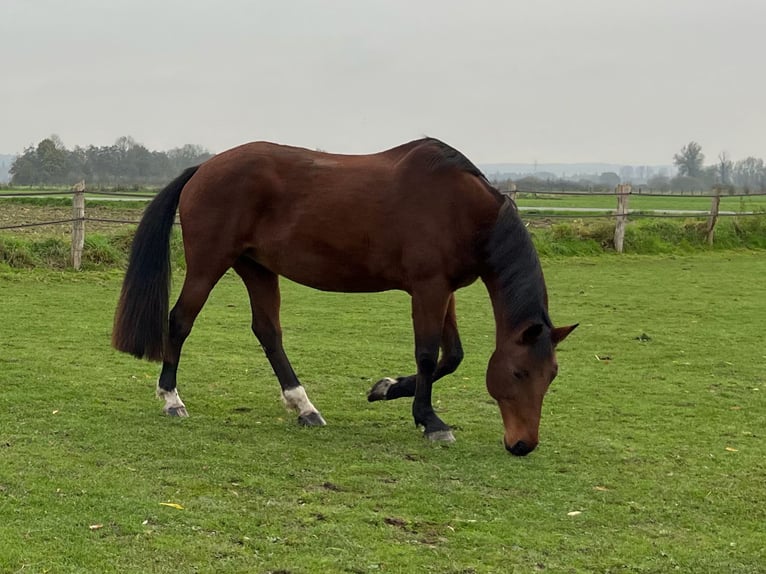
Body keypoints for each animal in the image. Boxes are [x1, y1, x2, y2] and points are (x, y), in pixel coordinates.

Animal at [112, 137, 576, 456]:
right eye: (519, 373)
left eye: (552, 375)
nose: (523, 444)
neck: (461, 207)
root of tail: (205, 166)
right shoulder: (428, 288)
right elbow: (428, 355)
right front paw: (429, 420)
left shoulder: (446, 291)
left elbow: (453, 356)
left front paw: (386, 388)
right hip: (210, 264)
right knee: (180, 320)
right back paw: (171, 399)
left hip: (257, 269)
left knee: (268, 332)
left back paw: (304, 407)